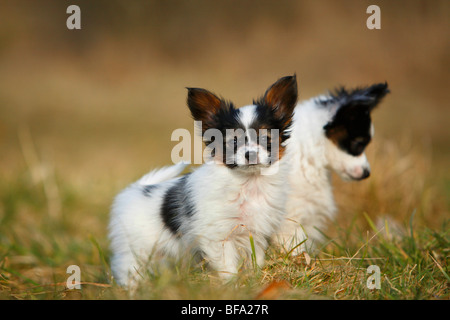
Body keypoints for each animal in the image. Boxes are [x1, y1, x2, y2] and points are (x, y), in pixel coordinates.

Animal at [109, 75, 298, 288]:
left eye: (266, 139)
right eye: (233, 142)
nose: (250, 154)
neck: (249, 183)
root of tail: (135, 189)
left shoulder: (255, 233)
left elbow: (254, 259)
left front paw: (253, 279)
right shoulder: (217, 237)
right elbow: (227, 266)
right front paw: (232, 286)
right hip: (135, 251)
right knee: (129, 271)